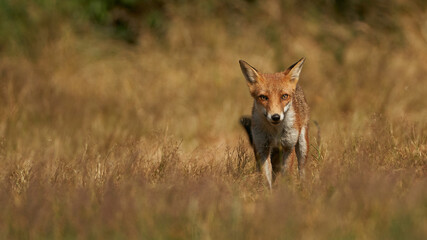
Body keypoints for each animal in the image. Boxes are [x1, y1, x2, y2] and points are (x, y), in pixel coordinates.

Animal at [239, 58, 310, 189]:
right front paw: (268, 193)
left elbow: (286, 176)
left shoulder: (288, 147)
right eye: (263, 97)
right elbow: (266, 178)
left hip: (302, 145)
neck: (275, 132)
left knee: (301, 169)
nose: (276, 117)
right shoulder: (262, 148)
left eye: (284, 96)